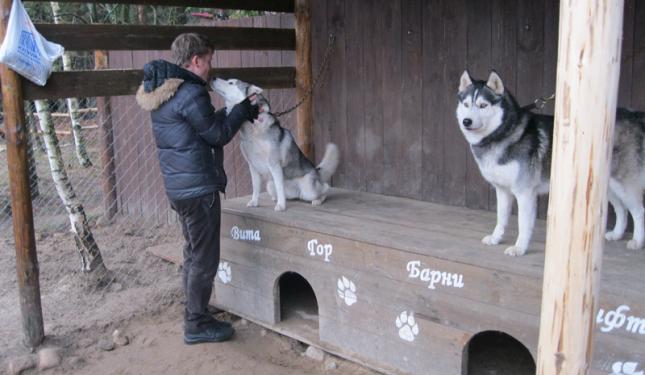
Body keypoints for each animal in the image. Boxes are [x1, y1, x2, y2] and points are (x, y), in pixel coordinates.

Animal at [211, 77, 342, 212]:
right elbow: (255, 188)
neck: (253, 127)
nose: (213, 78)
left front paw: (281, 205)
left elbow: (280, 187)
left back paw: (317, 200)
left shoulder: (274, 164)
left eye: (231, 82)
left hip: (308, 189)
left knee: (324, 189)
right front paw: (254, 202)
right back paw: (278, 198)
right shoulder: (252, 166)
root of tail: (316, 171)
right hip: (270, 184)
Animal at [456, 69, 640, 258]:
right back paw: (617, 234)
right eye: (466, 104)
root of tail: (634, 115)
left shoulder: (525, 192)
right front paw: (496, 238)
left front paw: (519, 248)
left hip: (623, 185)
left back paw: (637, 241)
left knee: (639, 211)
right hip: (607, 186)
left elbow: (523, 224)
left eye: (483, 105)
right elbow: (501, 218)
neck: (503, 133)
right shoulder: (502, 190)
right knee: (622, 209)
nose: (466, 121)